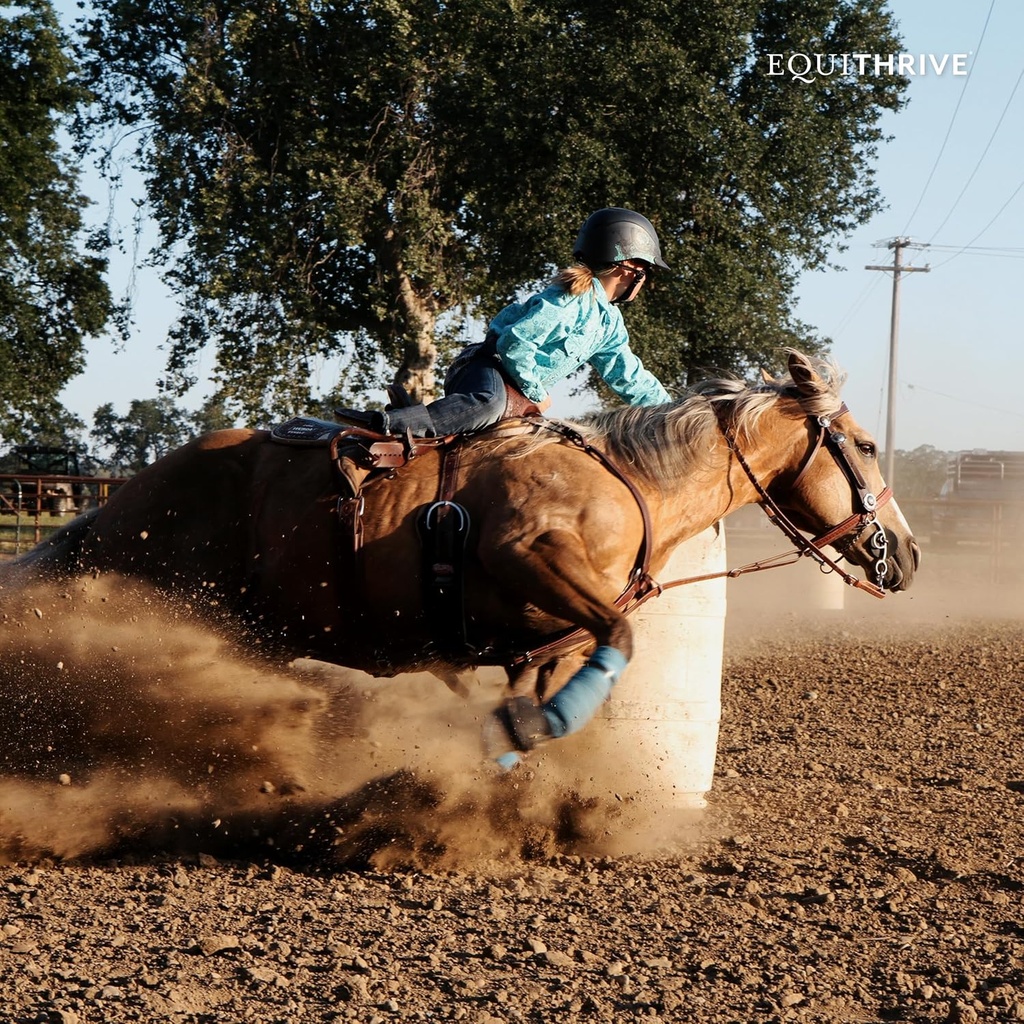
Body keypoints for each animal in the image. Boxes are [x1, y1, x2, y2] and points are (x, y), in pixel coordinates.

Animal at [13, 350, 919, 764]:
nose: (907, 555)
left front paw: (516, 747)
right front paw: (530, 729)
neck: (628, 482)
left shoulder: (543, 639)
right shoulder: (528, 551)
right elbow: (621, 640)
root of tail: (122, 499)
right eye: (868, 446)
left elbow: (570, 670)